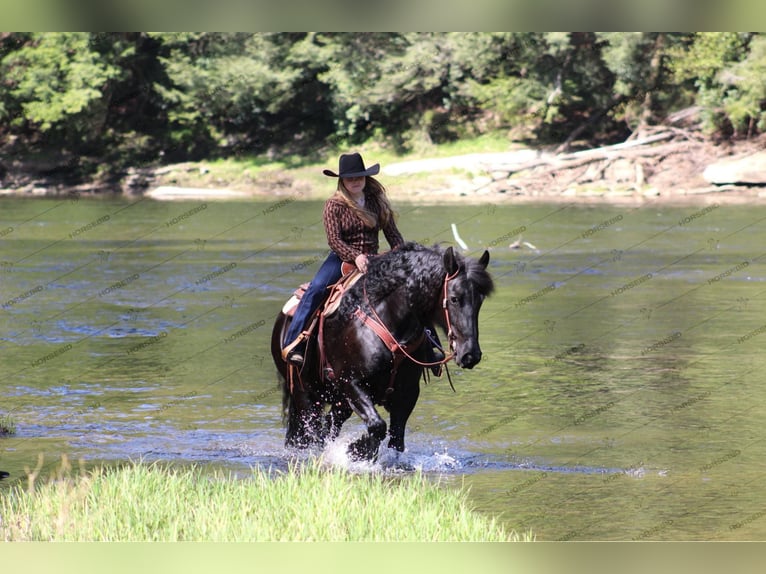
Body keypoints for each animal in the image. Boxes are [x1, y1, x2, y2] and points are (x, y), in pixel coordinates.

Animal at [272, 243, 496, 464]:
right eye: (455, 299)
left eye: (480, 301)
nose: (470, 354)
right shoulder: (351, 382)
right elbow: (378, 426)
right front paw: (356, 450)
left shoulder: (407, 394)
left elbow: (396, 439)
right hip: (305, 394)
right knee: (313, 432)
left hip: (340, 402)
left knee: (329, 425)